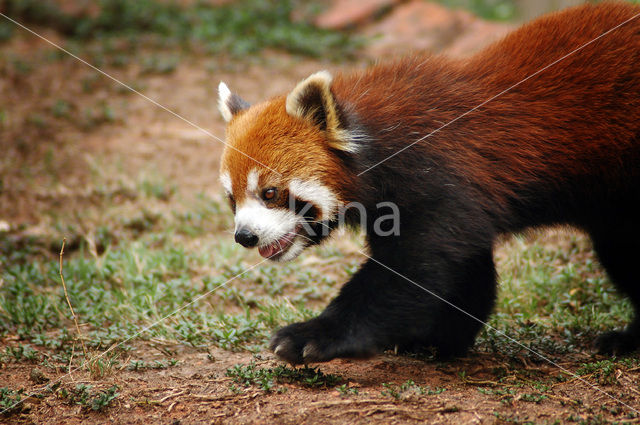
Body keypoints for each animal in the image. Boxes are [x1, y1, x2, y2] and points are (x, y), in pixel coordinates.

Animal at [216, 1, 640, 362]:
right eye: (232, 200)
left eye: (270, 192)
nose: (245, 236)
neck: (375, 141)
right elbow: (464, 270)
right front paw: (441, 340)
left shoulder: (440, 175)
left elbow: (414, 269)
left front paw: (313, 335)